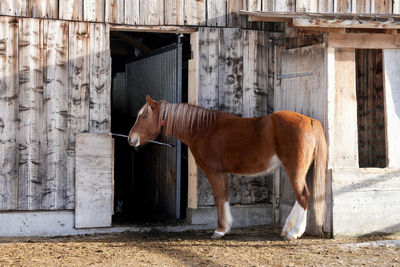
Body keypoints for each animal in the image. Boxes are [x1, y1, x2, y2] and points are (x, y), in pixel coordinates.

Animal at [128, 96, 328, 241]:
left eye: (144, 116)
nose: (131, 139)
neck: (202, 127)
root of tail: (310, 121)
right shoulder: (222, 173)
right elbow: (224, 197)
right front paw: (226, 227)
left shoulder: (213, 172)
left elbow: (218, 198)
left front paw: (219, 230)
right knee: (300, 197)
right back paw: (287, 229)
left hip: (294, 169)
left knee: (303, 195)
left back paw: (294, 233)